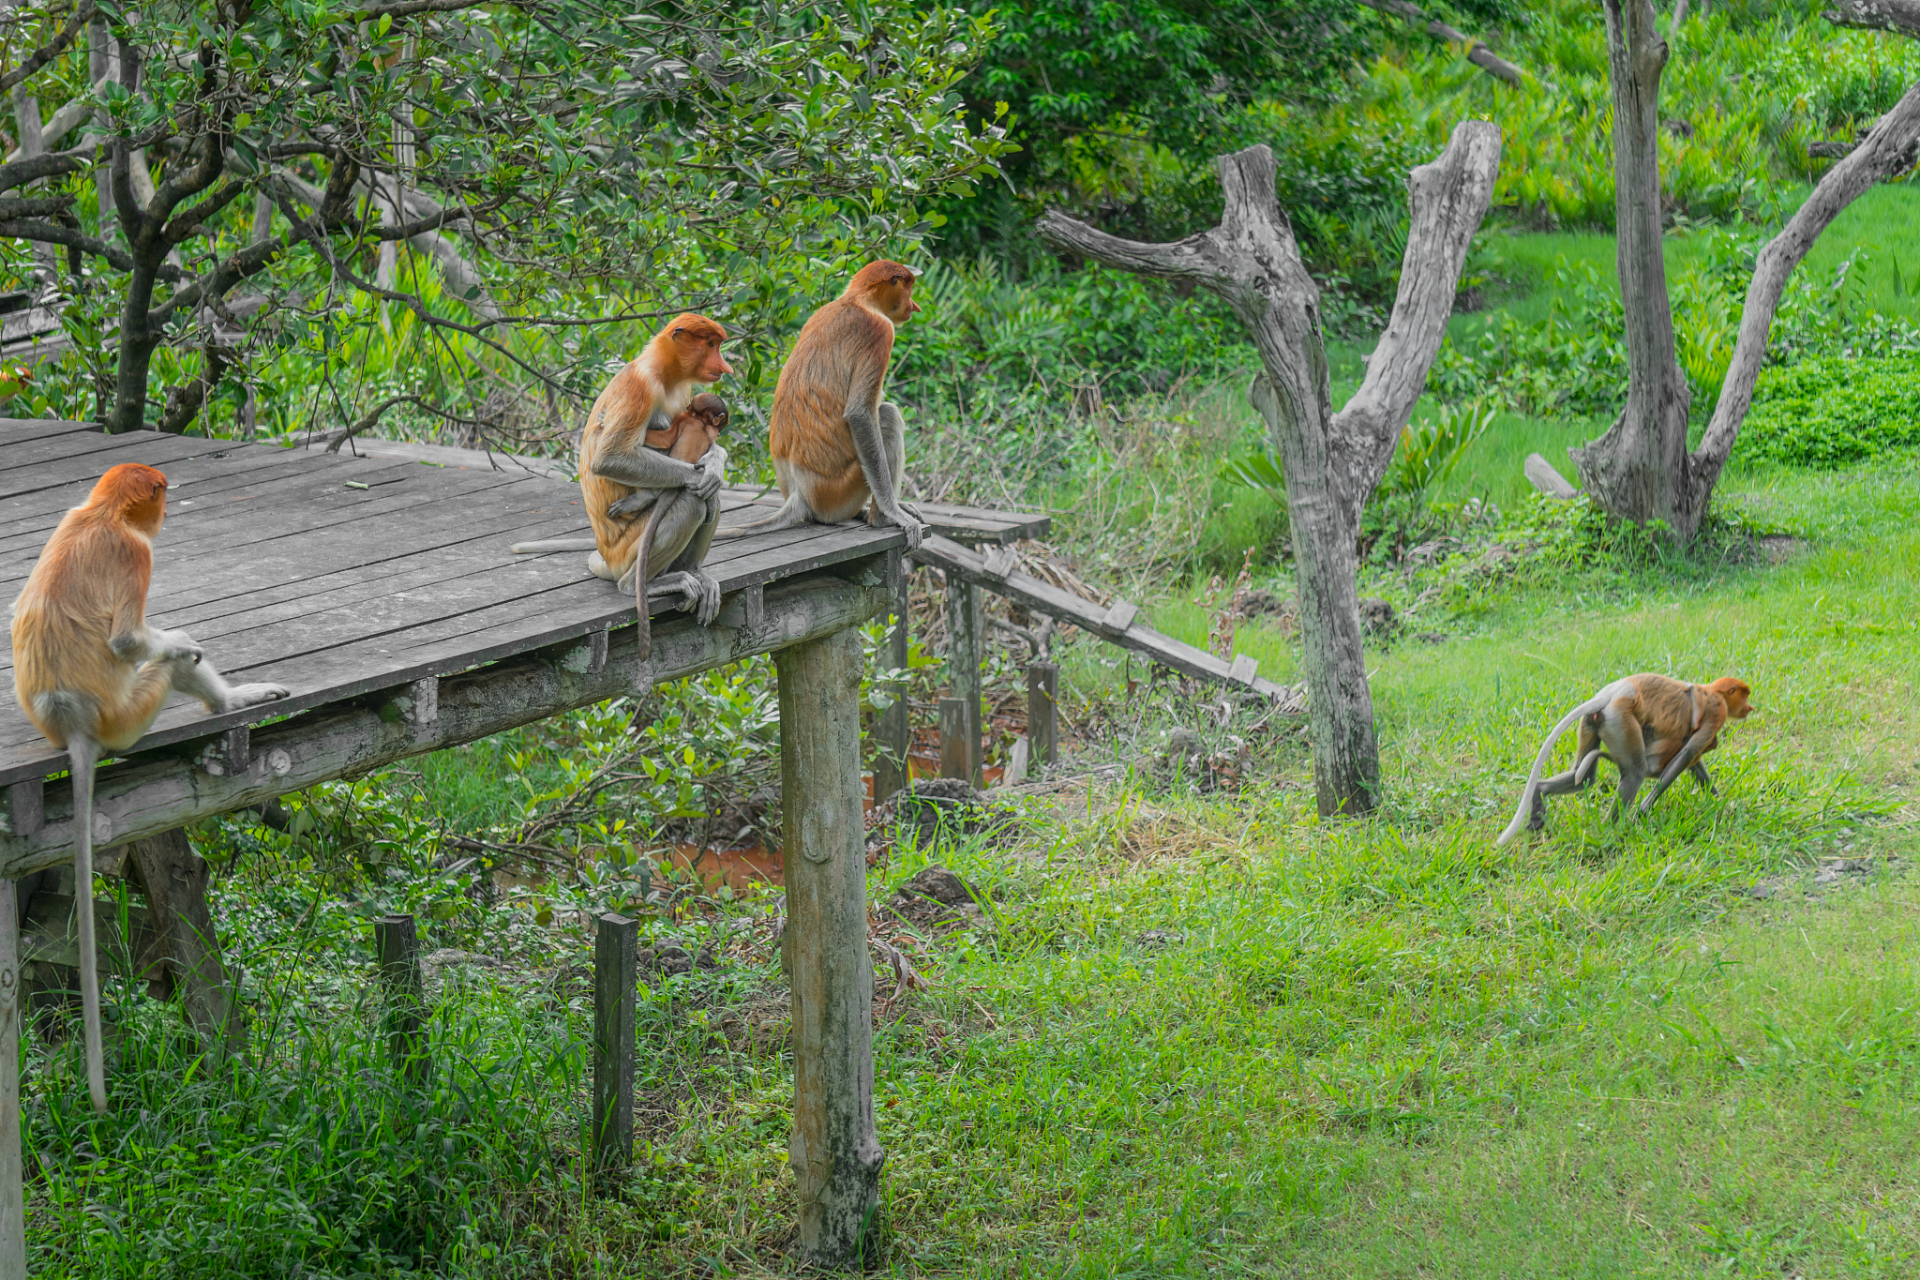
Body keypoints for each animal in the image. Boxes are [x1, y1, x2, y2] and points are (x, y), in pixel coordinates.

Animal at [11, 462, 288, 1113]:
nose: (164, 514)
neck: (100, 512)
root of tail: (73, 724)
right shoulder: (136, 554)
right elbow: (127, 642)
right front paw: (182, 640)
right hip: (128, 714)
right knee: (167, 664)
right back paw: (227, 697)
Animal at [510, 314, 733, 625]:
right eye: (711, 345)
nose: (725, 366)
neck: (666, 374)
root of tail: (608, 558)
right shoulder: (641, 386)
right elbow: (610, 458)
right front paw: (703, 473)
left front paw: (715, 464)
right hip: (627, 549)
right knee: (692, 501)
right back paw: (638, 583)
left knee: (705, 500)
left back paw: (693, 572)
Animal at [721, 260, 929, 552]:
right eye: (908, 289)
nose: (915, 306)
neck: (857, 299)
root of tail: (800, 496)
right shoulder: (880, 331)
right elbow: (860, 414)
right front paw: (894, 512)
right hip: (837, 492)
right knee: (888, 415)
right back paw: (879, 518)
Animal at [1497, 675, 1758, 844]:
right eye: (1744, 696)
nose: (1750, 708)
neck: (1713, 691)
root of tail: (1609, 695)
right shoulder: (1717, 710)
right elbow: (1689, 752)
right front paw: (1643, 810)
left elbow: (1693, 761)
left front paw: (1719, 802)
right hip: (1619, 721)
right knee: (1634, 774)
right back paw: (1612, 830)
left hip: (1591, 723)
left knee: (1584, 778)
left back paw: (1540, 795)